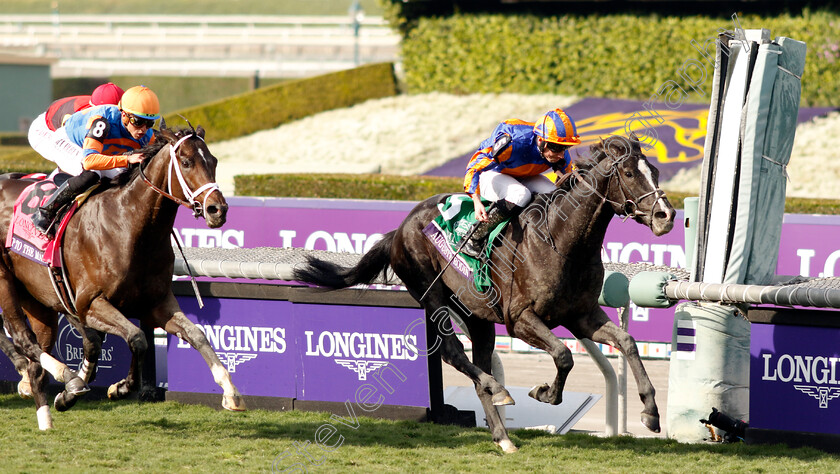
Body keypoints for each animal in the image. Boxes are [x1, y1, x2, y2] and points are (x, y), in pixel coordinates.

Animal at [0, 125, 246, 430]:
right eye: (187, 162)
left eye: (213, 161)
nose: (218, 210)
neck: (130, 226)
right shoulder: (90, 304)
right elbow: (137, 338)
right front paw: (120, 387)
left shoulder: (157, 304)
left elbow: (196, 335)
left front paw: (230, 392)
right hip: (6, 282)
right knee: (23, 339)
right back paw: (68, 379)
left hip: (38, 299)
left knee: (37, 358)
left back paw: (48, 414)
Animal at [296, 133, 676, 452]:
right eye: (629, 172)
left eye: (655, 171)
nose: (666, 215)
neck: (561, 242)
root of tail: (400, 228)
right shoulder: (519, 319)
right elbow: (563, 355)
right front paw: (544, 392)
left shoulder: (581, 314)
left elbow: (627, 342)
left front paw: (651, 412)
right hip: (431, 294)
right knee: (453, 353)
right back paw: (500, 390)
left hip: (476, 315)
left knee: (478, 368)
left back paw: (502, 435)